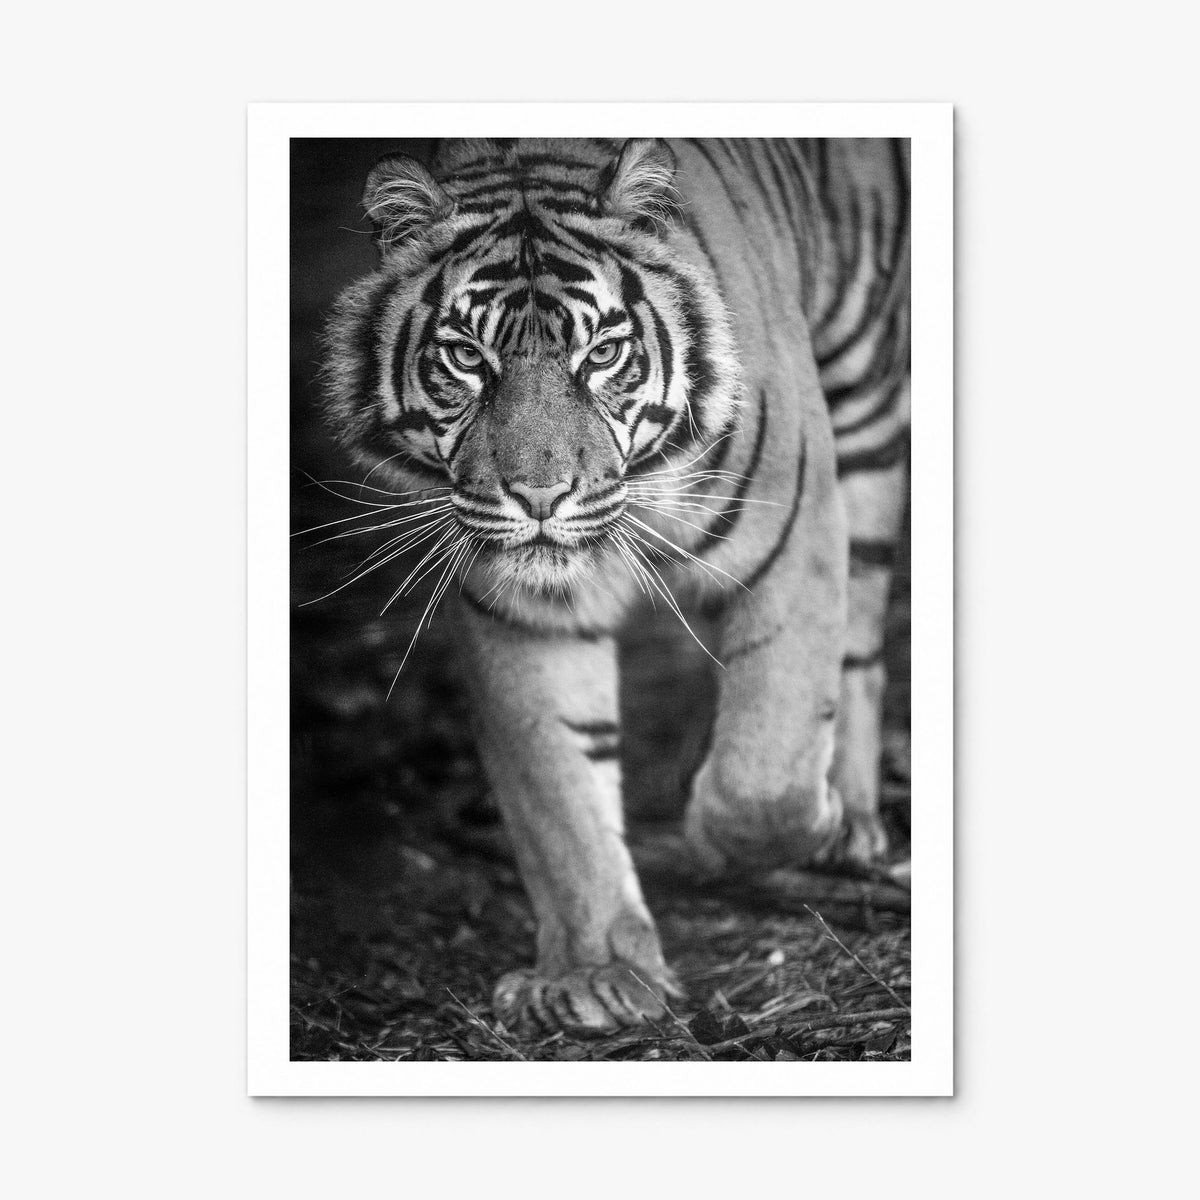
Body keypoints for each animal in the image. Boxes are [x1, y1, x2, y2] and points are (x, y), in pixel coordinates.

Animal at [322, 137, 910, 1036]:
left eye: (601, 354)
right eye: (467, 357)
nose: (538, 497)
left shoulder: (796, 524)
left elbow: (764, 775)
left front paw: (786, 828)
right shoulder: (523, 613)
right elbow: (560, 792)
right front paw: (595, 972)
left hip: (866, 401)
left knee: (861, 646)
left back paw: (849, 820)